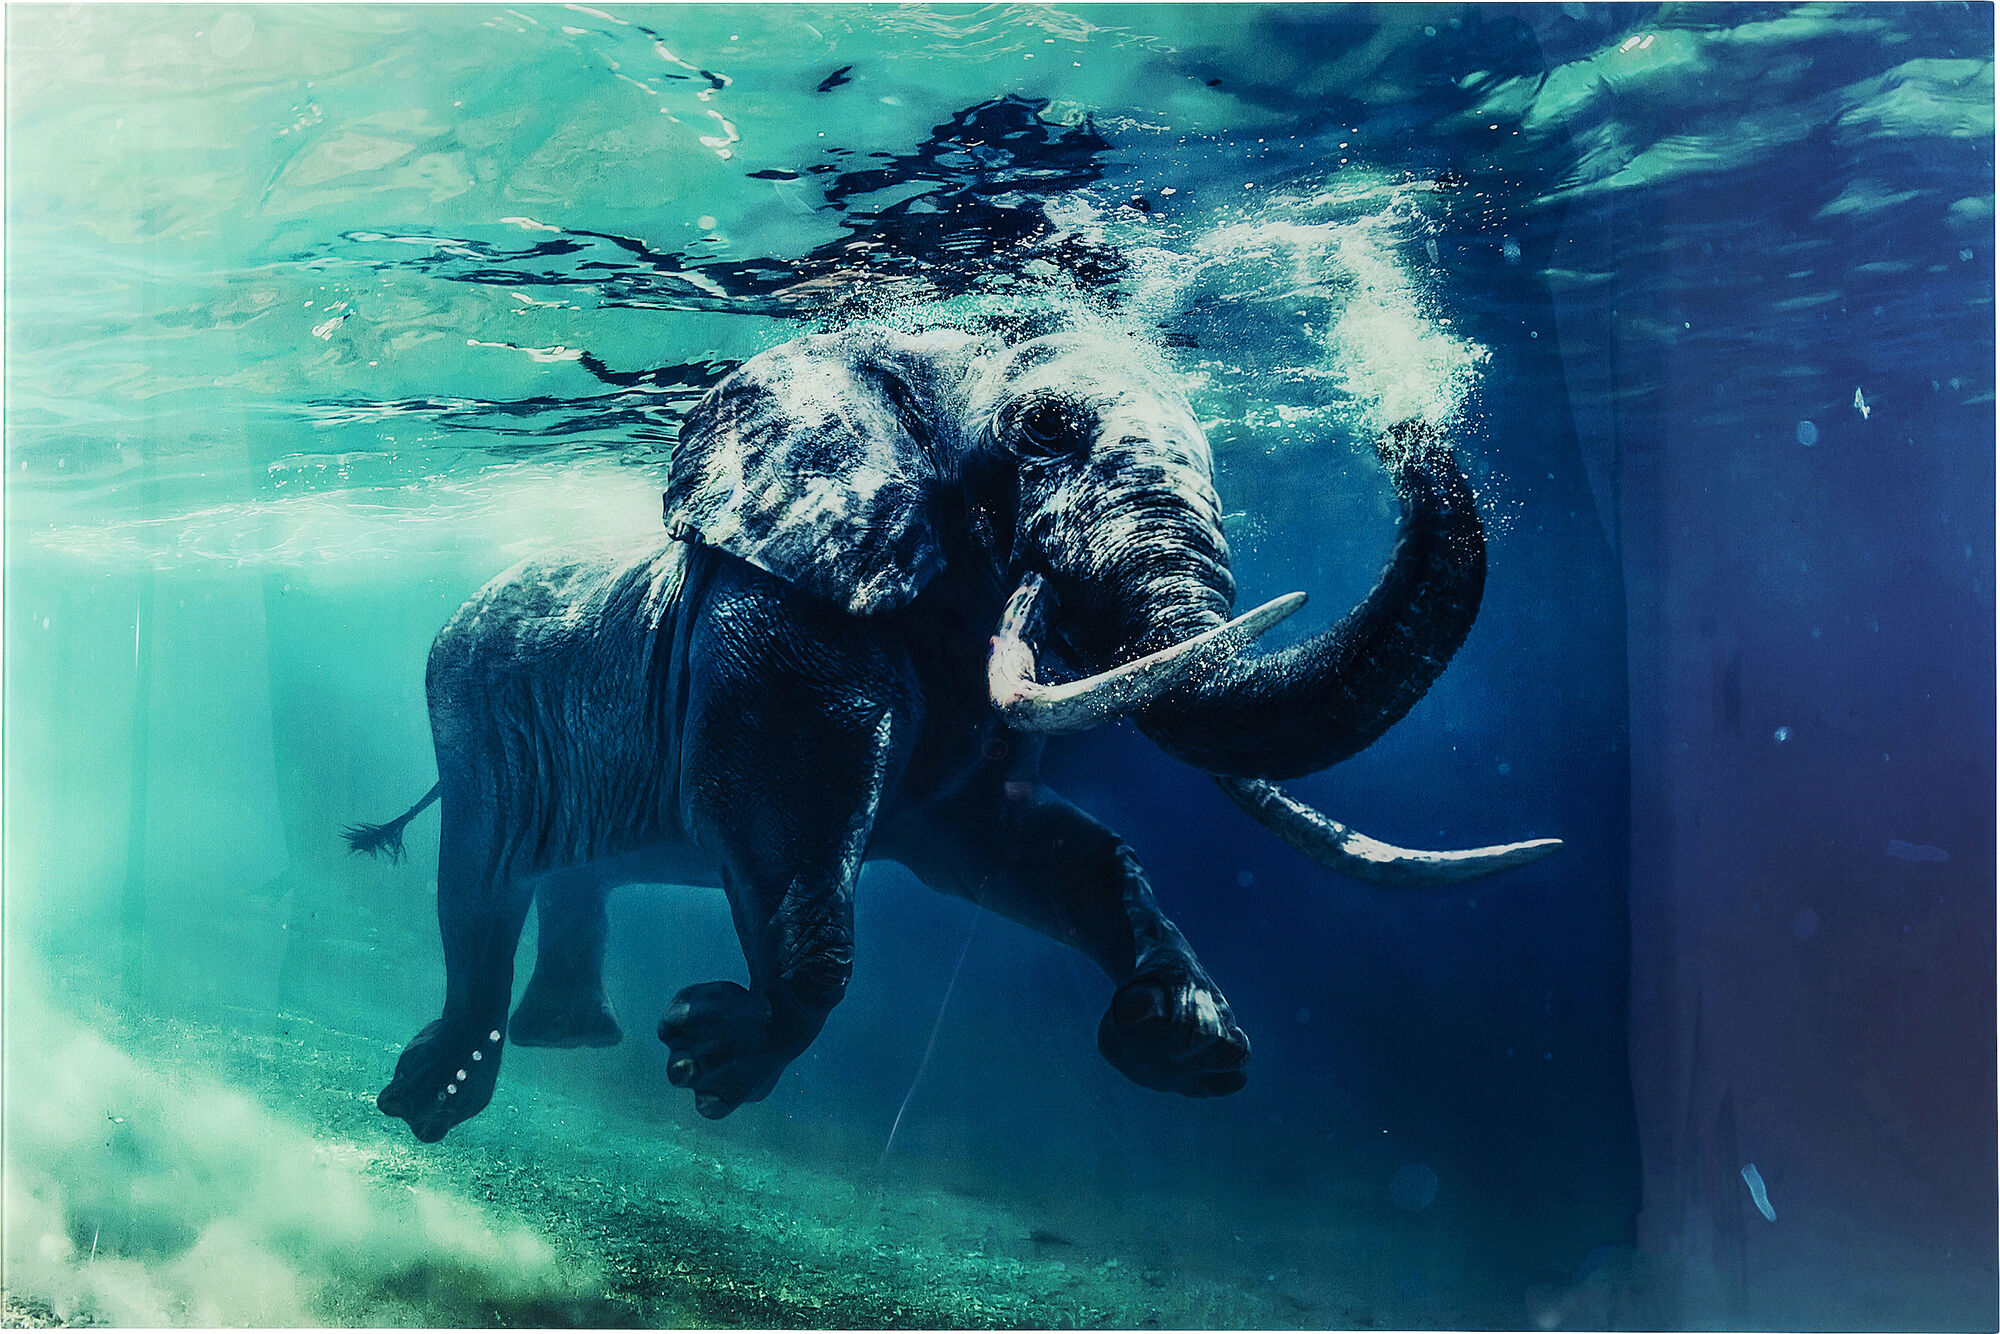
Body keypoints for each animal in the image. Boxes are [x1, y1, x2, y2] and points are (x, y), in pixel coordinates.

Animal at [350, 322, 1559, 1143]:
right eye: (1044, 433)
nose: (1399, 422)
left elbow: (1031, 845)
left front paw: (1185, 1042)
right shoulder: (778, 618)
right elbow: (774, 819)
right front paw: (713, 1054)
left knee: (567, 880)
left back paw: (565, 1043)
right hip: (468, 718)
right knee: (478, 891)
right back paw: (432, 1100)